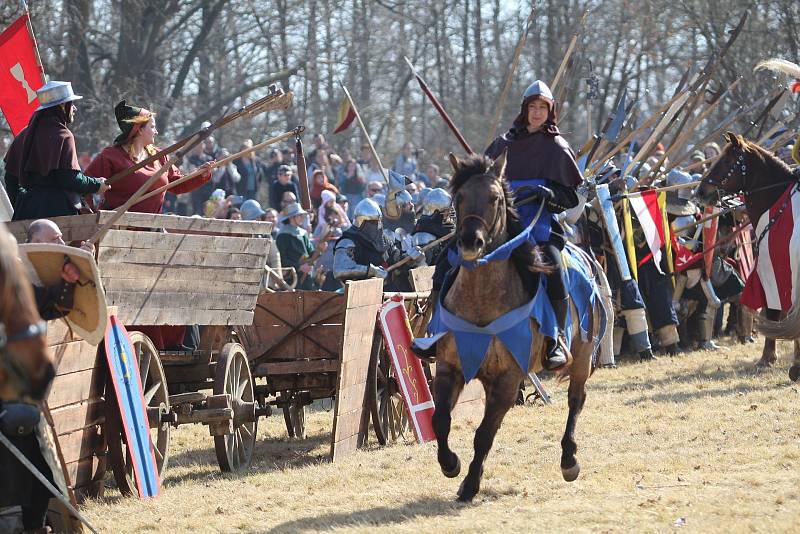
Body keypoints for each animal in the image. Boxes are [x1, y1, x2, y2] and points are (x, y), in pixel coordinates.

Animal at [432, 153, 600, 504]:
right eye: (459, 197)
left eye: (495, 199)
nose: (469, 242)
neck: (481, 299)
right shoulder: (449, 367)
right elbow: (440, 420)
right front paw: (451, 464)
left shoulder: (508, 378)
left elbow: (483, 435)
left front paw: (469, 485)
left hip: (582, 355)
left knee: (576, 399)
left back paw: (569, 460)